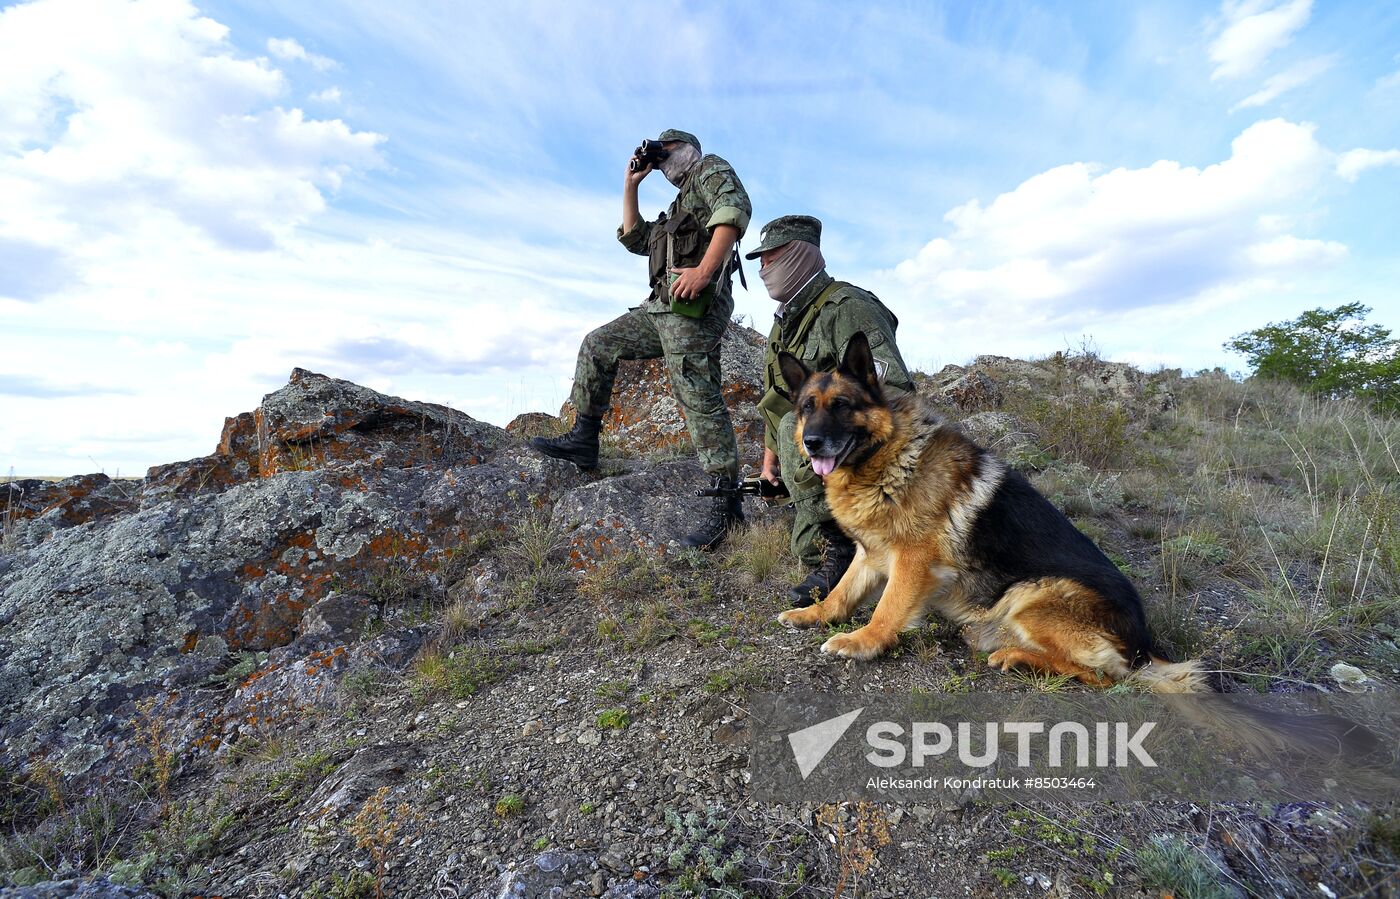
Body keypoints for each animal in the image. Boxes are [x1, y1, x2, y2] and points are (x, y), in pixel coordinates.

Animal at [778, 333, 1204, 688]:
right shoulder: (871, 554)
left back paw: (1017, 657)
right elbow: (842, 593)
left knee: (1105, 676)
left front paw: (862, 641)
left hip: (1031, 596)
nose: (812, 442)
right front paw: (813, 614)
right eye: (806, 408)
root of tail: (1144, 646)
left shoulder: (913, 561)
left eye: (842, 405)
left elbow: (888, 608)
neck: (888, 455)